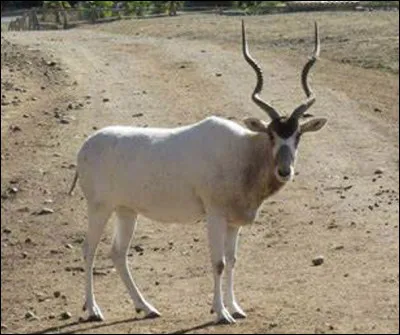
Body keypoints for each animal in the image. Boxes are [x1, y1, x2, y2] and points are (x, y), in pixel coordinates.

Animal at [68, 21, 324, 326]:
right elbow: (218, 262)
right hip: (100, 208)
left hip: (126, 211)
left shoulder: (233, 222)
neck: (242, 152)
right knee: (88, 250)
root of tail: (85, 146)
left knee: (118, 253)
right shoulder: (214, 215)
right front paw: (221, 313)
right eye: (271, 134)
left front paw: (235, 307)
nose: (285, 171)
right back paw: (94, 310)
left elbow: (232, 260)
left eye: (297, 135)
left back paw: (146, 307)